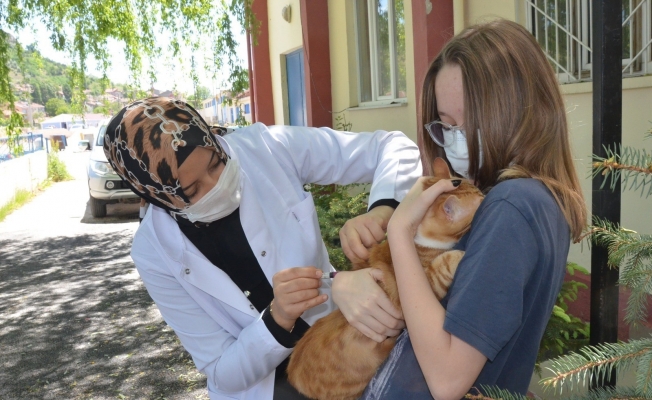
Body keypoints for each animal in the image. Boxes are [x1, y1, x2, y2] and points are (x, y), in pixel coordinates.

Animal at [286, 158, 484, 398]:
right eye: (481, 198)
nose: (486, 192)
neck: (417, 238)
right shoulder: (418, 288)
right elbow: (444, 261)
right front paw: (460, 254)